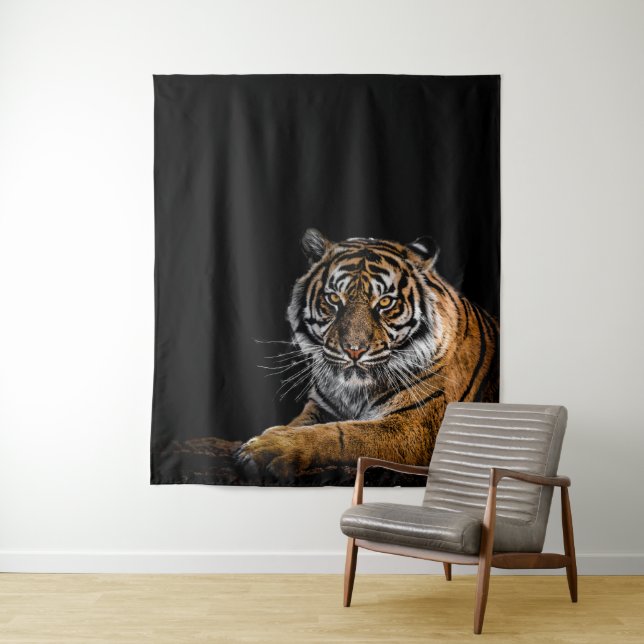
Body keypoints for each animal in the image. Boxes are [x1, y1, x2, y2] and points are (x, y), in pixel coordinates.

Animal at [236, 228, 498, 482]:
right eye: (333, 298)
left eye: (385, 302)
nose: (354, 349)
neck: (354, 392)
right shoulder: (320, 406)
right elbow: (299, 424)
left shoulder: (414, 425)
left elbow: (341, 433)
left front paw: (268, 448)